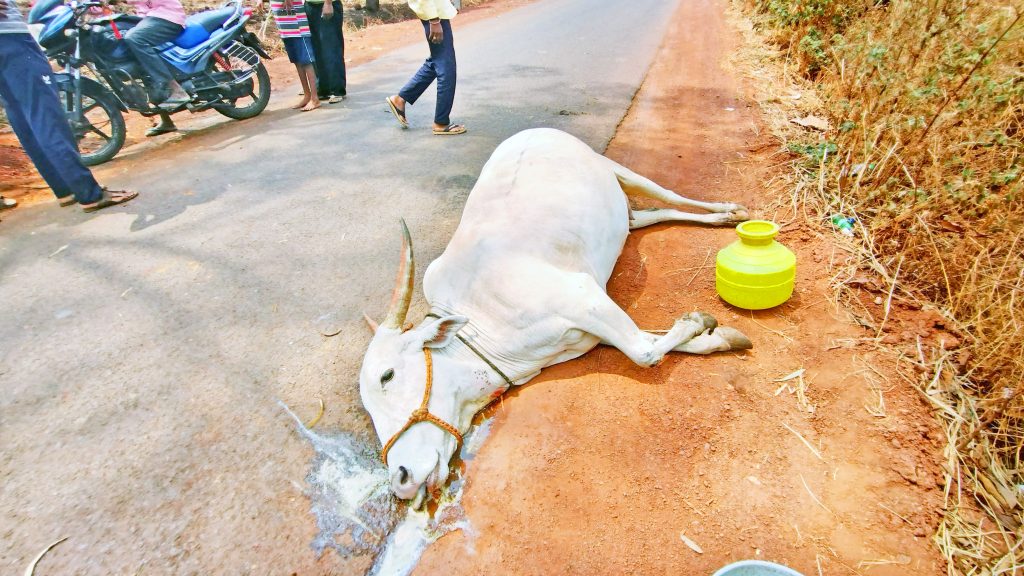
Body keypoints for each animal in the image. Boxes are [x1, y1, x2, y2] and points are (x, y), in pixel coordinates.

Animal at [359, 128, 752, 509]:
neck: (483, 319)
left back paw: (730, 212)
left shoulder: (583, 297)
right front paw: (716, 336)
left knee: (667, 194)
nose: (402, 480)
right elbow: (651, 341)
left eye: (387, 375)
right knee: (646, 215)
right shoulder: (589, 328)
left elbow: (644, 352)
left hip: (617, 170)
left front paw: (698, 322)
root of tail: (533, 131)